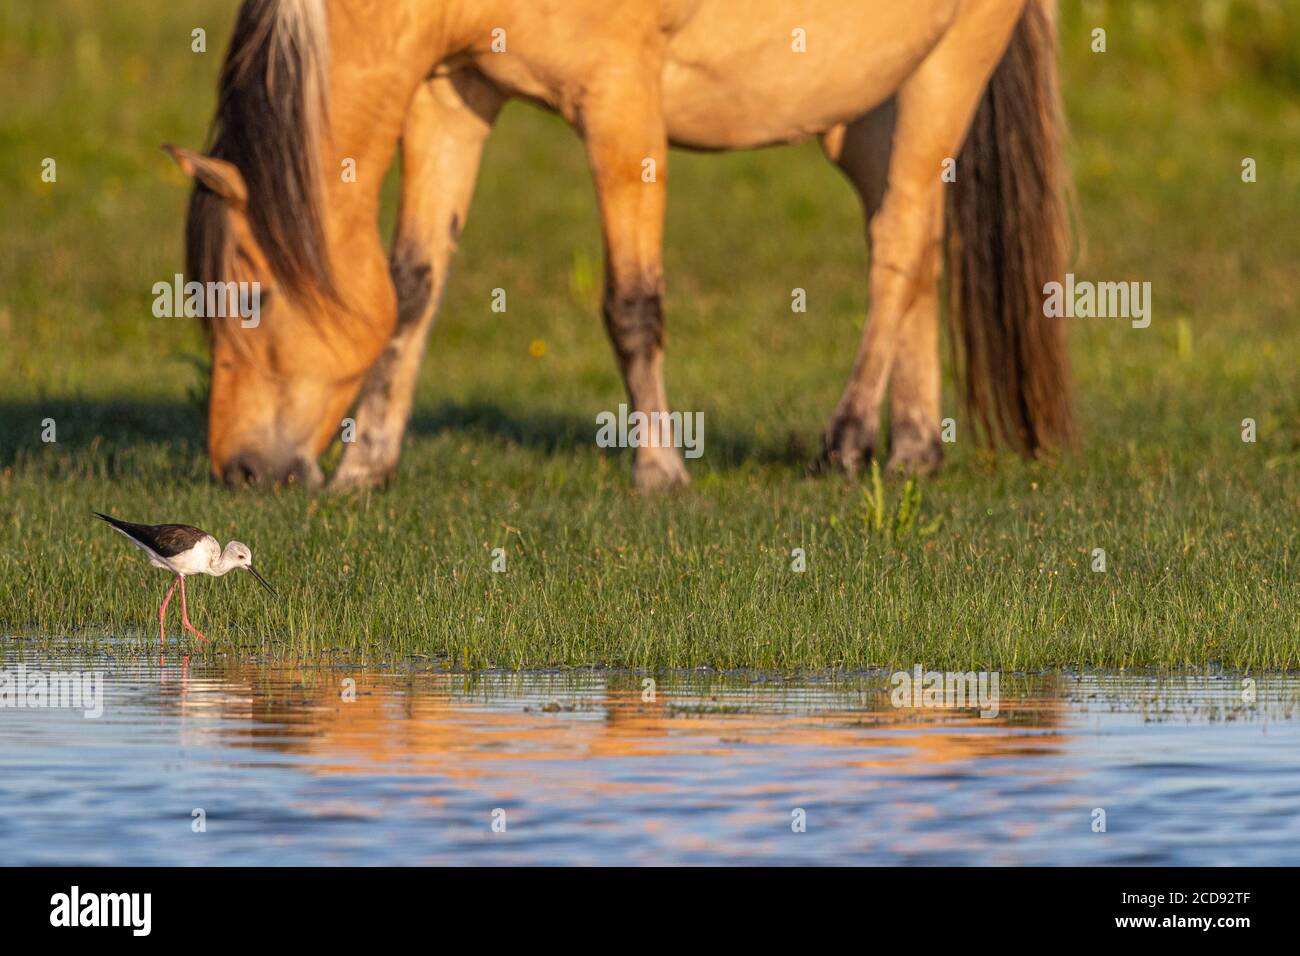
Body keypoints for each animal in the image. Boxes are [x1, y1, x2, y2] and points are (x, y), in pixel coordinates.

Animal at [170, 0, 1066, 489]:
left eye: (250, 296)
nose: (240, 470)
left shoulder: (620, 103)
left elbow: (633, 305)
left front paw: (660, 472)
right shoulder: (453, 95)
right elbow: (413, 286)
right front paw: (366, 469)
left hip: (946, 72)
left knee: (898, 245)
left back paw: (845, 447)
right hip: (864, 111)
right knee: (916, 245)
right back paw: (914, 449)